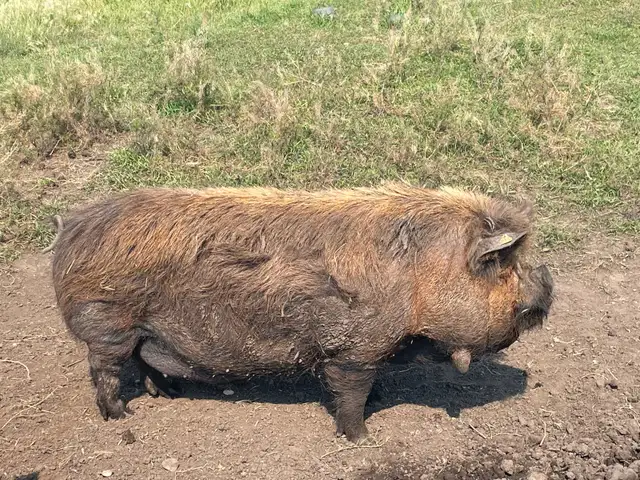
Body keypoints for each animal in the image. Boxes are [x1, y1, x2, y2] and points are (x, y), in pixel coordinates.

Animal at [46, 183, 553, 442]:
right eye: (505, 266)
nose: (548, 286)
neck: (421, 277)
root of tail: (70, 232)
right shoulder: (354, 346)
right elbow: (350, 392)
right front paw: (362, 438)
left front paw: (377, 404)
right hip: (107, 322)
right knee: (106, 370)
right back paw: (121, 418)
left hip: (143, 330)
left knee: (144, 360)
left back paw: (168, 395)